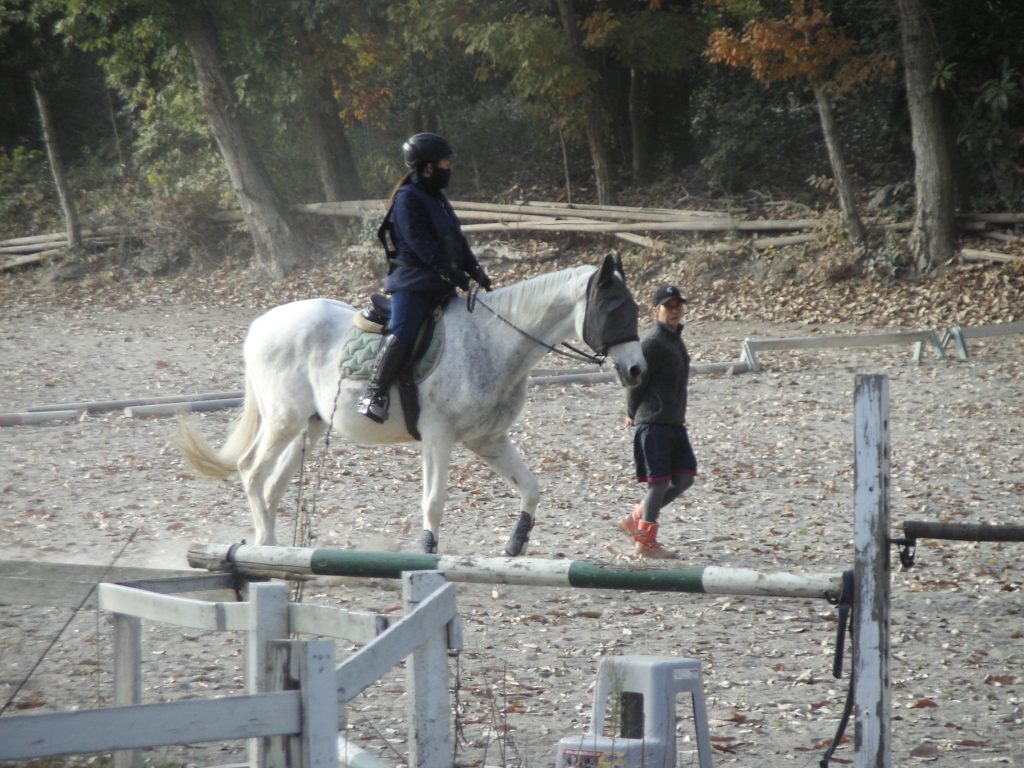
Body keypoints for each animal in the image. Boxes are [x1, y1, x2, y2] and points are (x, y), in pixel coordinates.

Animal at [178, 253, 646, 556]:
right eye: (613, 309)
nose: (637, 370)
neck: (491, 341)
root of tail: (261, 323)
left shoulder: (488, 439)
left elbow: (531, 487)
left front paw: (516, 542)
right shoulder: (438, 437)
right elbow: (433, 501)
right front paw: (428, 550)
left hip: (310, 425)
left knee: (272, 485)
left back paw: (273, 548)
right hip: (283, 421)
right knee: (251, 472)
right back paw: (267, 546)